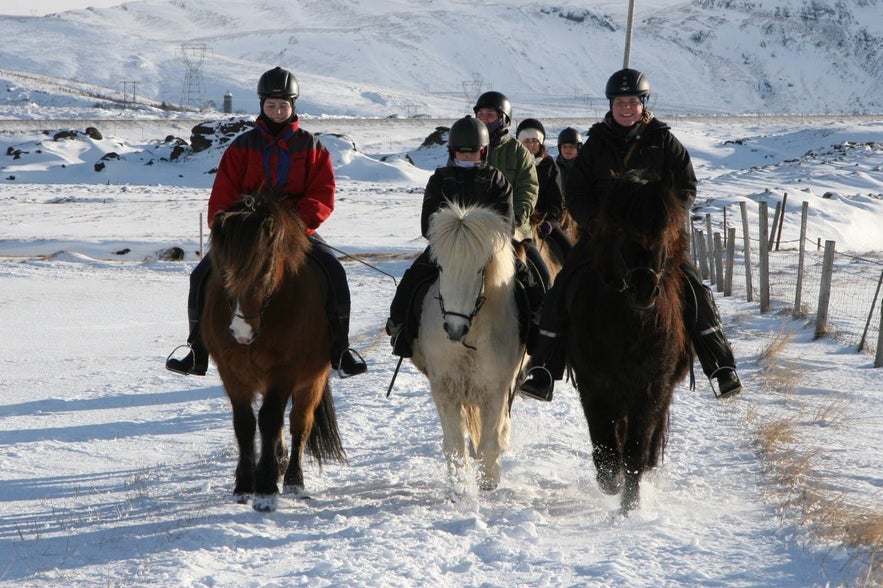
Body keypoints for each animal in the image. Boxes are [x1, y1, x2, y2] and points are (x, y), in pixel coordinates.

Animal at [201, 193, 346, 512]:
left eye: (265, 268)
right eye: (223, 269)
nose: (241, 332)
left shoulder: (284, 372)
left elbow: (269, 420)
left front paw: (265, 489)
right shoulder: (231, 372)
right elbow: (244, 424)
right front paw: (244, 485)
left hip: (312, 382)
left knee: (298, 424)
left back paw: (293, 480)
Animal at [410, 201, 523, 495]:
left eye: (479, 270)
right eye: (440, 267)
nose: (453, 328)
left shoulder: (495, 390)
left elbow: (489, 441)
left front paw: (488, 481)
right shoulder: (445, 389)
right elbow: (453, 444)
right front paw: (460, 486)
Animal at [567, 170, 692, 514]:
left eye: (663, 231)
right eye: (622, 230)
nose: (643, 290)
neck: (629, 329)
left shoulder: (651, 389)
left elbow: (635, 452)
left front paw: (630, 506)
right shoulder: (594, 386)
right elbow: (606, 448)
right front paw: (611, 485)